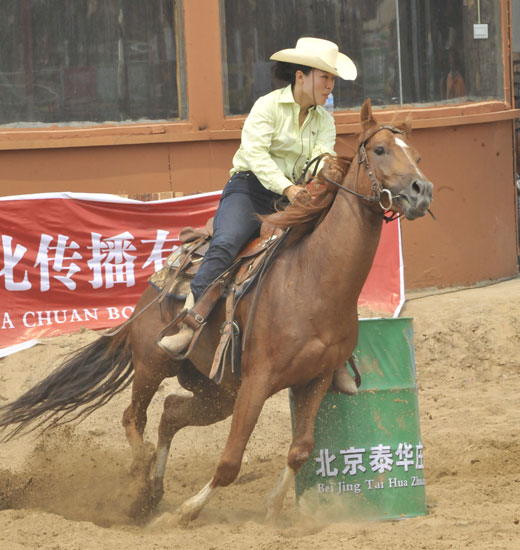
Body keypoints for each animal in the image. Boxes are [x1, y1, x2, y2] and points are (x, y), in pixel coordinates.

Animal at [0, 99, 432, 528]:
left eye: (417, 155)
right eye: (380, 150)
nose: (422, 190)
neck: (312, 278)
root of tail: (152, 289)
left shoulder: (316, 379)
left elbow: (300, 450)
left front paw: (273, 509)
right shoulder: (259, 380)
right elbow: (229, 463)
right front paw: (188, 511)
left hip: (218, 390)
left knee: (170, 413)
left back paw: (153, 491)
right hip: (153, 363)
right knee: (133, 417)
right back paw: (139, 483)